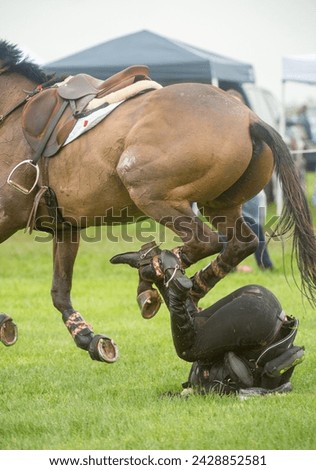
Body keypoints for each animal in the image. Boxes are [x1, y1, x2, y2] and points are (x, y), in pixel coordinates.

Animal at [1, 41, 316, 364]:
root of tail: (249, 118)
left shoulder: (6, 216)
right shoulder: (65, 227)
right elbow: (60, 290)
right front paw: (88, 338)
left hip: (148, 189)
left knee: (205, 241)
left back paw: (152, 274)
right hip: (219, 204)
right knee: (241, 243)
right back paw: (189, 287)